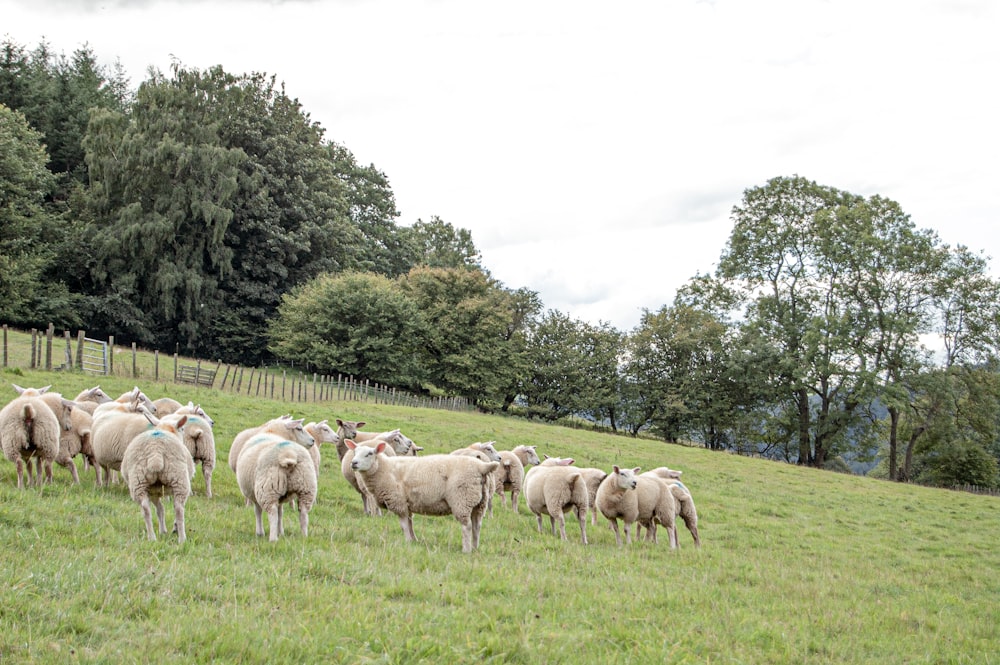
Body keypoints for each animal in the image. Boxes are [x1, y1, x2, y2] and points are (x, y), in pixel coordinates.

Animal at [120, 410, 194, 544]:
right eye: (182, 429)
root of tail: (155, 451)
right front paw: (172, 528)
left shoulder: (154, 491)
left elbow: (160, 509)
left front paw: (162, 531)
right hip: (179, 479)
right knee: (179, 509)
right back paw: (182, 539)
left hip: (139, 482)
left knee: (145, 509)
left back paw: (152, 537)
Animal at [348, 438, 500, 552]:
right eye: (355, 452)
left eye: (369, 454)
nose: (353, 463)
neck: (384, 469)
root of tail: (482, 467)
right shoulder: (407, 504)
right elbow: (410, 523)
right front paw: (414, 540)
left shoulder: (399, 502)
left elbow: (404, 525)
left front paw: (407, 542)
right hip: (480, 503)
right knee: (477, 526)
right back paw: (475, 548)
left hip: (462, 499)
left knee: (467, 526)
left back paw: (466, 550)